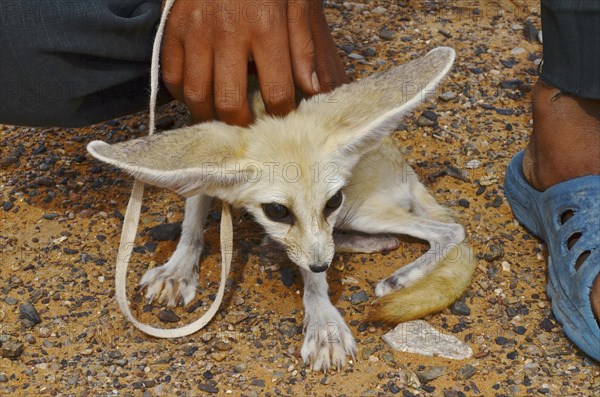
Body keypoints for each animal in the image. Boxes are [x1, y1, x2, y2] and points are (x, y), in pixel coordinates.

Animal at [86, 47, 476, 372]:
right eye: (276, 210)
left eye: (333, 201)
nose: (320, 265)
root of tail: (403, 166)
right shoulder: (206, 164)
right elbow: (194, 216)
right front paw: (178, 269)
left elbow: (313, 273)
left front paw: (323, 322)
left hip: (363, 211)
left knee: (451, 230)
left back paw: (399, 276)